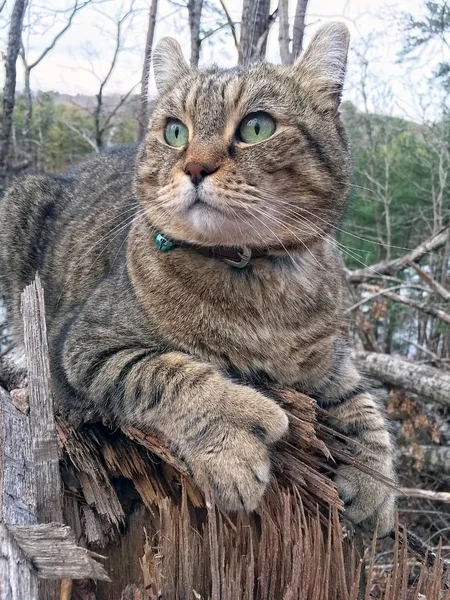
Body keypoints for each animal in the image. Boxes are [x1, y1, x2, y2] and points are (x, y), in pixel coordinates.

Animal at [0, 22, 394, 536]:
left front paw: (377, 485)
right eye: (175, 131)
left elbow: (362, 402)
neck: (254, 284)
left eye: (257, 127)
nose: (194, 167)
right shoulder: (81, 346)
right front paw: (234, 441)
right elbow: (167, 373)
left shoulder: (328, 358)